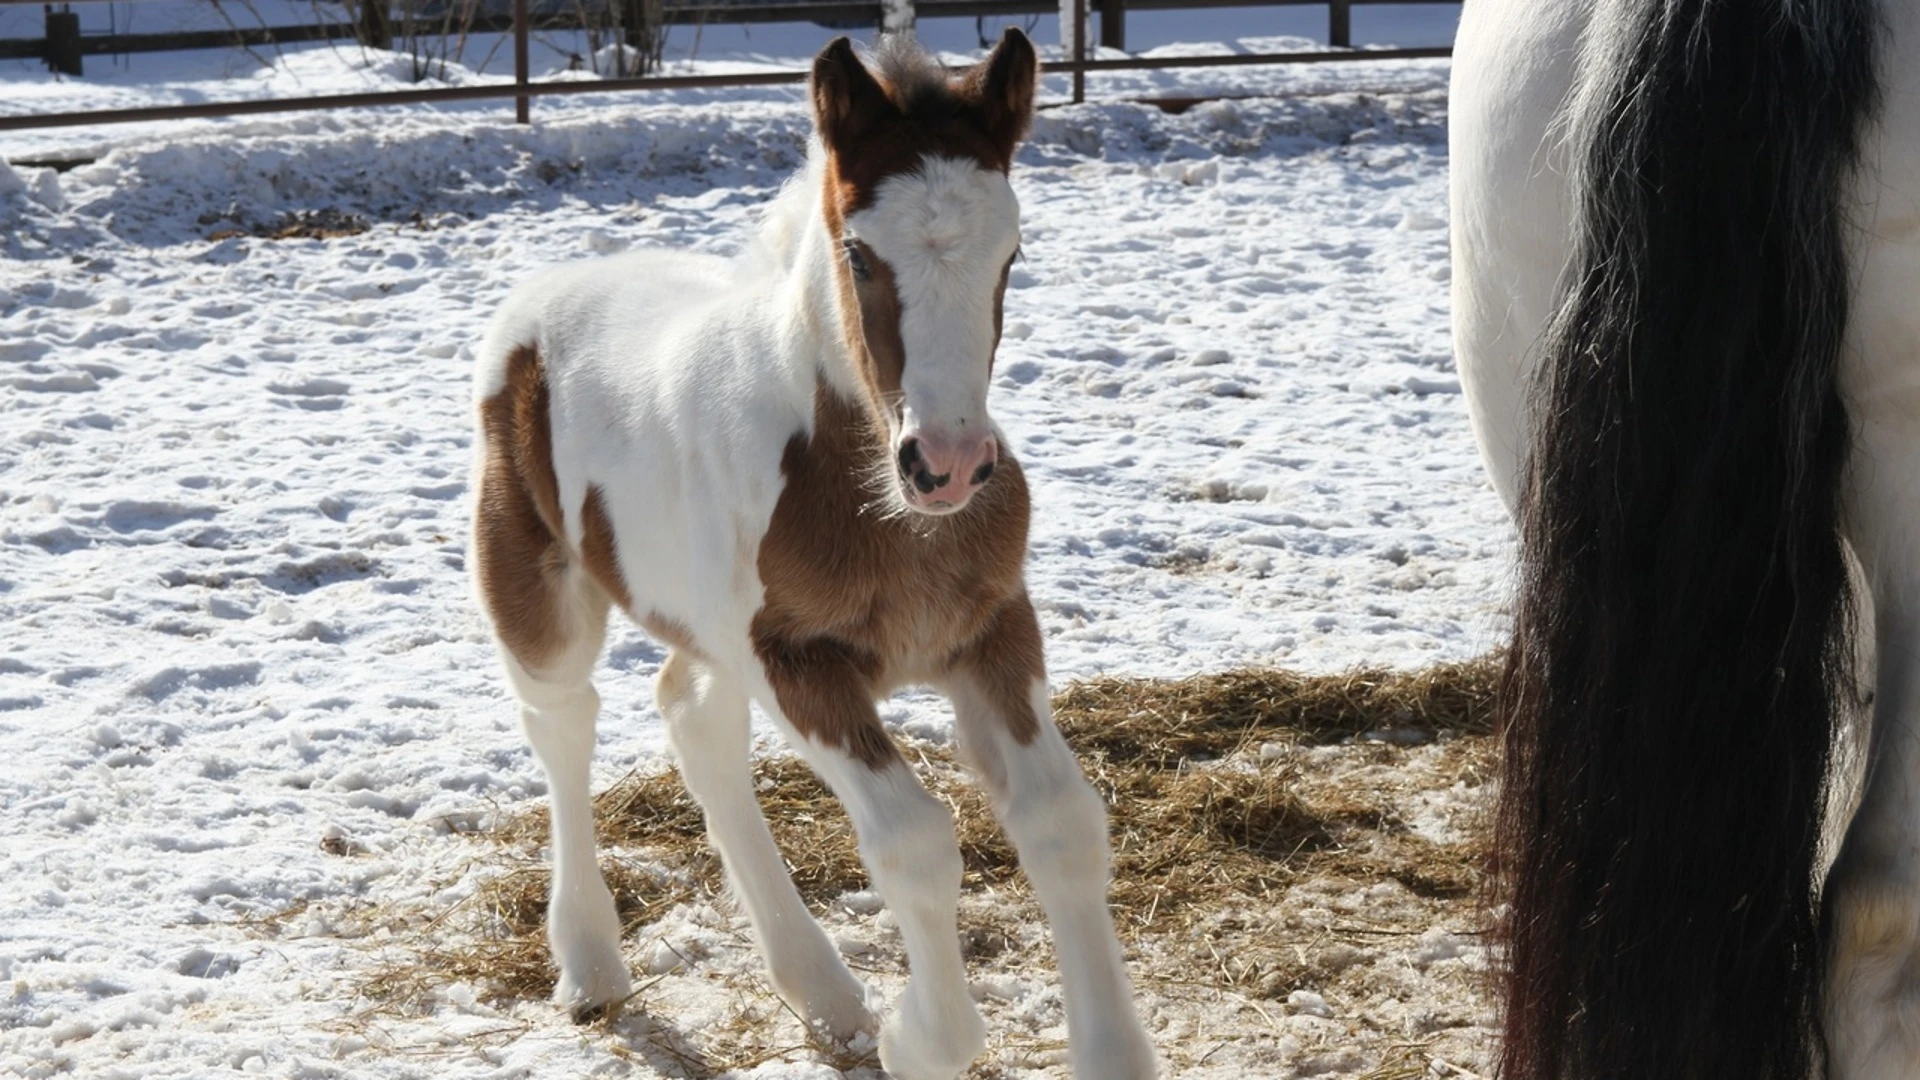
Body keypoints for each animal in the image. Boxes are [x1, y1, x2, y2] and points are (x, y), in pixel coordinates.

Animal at [464, 29, 1152, 1076]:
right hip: (539, 593)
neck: (873, 498)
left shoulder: (992, 630)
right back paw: (590, 964)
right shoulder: (796, 662)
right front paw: (923, 1036)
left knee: (692, 721)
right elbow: (914, 838)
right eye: (860, 256)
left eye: (1013, 252)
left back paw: (820, 991)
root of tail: (550, 290)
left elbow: (1062, 822)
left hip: (705, 625)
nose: (948, 465)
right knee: (563, 725)